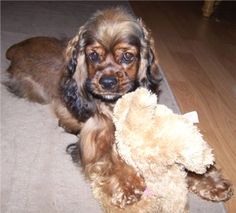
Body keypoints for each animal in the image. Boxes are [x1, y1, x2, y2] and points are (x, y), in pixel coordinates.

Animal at [4, 7, 233, 209]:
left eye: (127, 56)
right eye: (93, 56)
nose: (107, 82)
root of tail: (15, 49)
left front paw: (210, 181)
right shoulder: (94, 140)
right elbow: (109, 158)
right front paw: (127, 185)